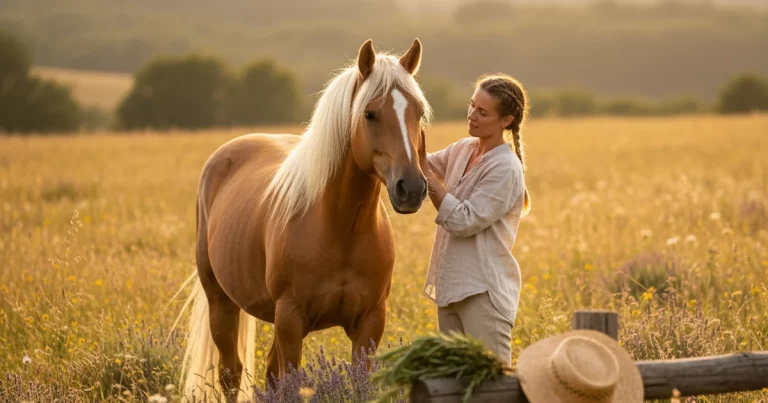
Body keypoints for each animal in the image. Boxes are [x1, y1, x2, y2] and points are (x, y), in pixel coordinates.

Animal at [174, 38, 433, 401]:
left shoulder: (370, 323)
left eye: (418, 112)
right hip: (222, 304)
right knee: (231, 374)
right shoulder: (290, 320)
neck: (340, 229)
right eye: (370, 114)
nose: (411, 188)